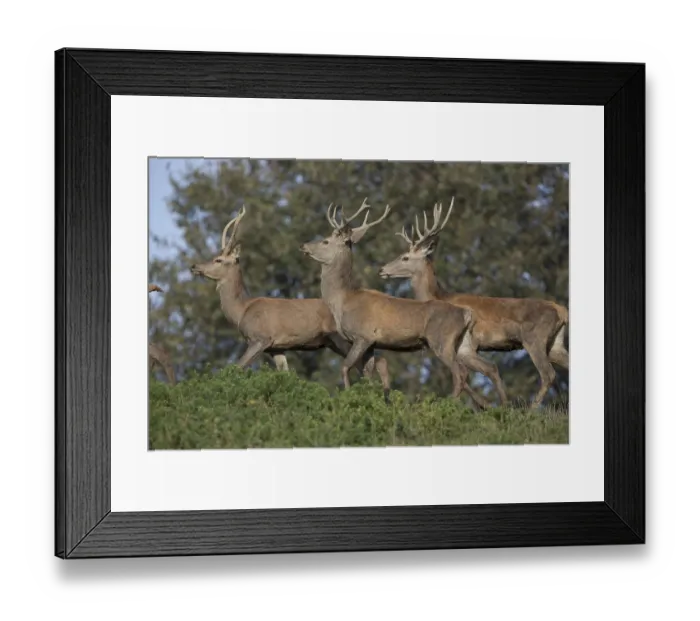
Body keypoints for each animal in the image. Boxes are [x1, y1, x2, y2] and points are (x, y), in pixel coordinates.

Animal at [189, 207, 391, 395]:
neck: (242, 310)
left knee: (369, 364)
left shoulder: (260, 338)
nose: (194, 266)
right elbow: (285, 374)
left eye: (218, 259)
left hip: (343, 338)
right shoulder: (276, 348)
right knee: (376, 361)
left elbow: (237, 367)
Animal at [299, 199, 496, 406]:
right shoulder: (372, 343)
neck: (343, 300)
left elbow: (345, 367)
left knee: (460, 373)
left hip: (442, 340)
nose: (303, 245)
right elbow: (368, 374)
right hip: (463, 344)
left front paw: (348, 398)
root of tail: (466, 314)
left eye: (325, 240)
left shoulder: (362, 335)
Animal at [378, 197, 569, 409]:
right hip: (555, 345)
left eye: (405, 257)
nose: (382, 269)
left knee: (547, 374)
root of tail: (562, 310)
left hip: (533, 338)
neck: (440, 296)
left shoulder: (470, 343)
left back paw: (530, 410)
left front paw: (484, 405)